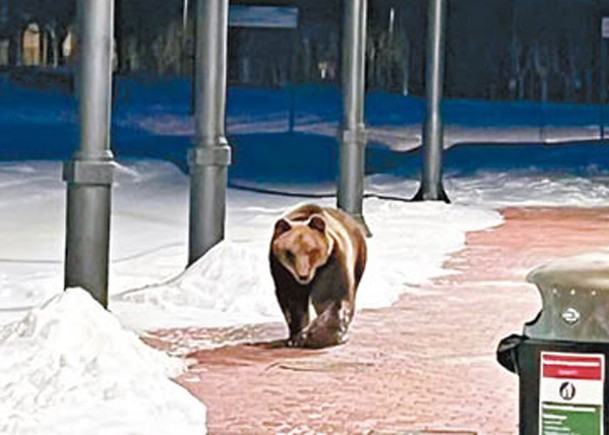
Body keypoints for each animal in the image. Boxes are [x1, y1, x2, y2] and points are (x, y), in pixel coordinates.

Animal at [270, 203, 366, 350]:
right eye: (289, 252)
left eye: (311, 251)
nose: (303, 276)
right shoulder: (283, 270)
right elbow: (293, 301)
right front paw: (296, 337)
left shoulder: (332, 262)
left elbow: (332, 297)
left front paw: (313, 335)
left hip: (358, 257)